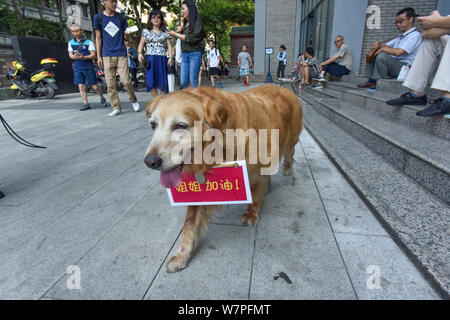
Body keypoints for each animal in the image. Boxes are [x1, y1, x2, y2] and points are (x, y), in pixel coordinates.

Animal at [144, 84, 302, 272]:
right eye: (153, 125)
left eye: (180, 126)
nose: (150, 161)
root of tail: (284, 87)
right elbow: (190, 222)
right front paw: (183, 254)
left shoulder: (256, 168)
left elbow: (256, 193)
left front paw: (252, 212)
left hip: (291, 138)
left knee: (290, 152)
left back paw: (287, 169)